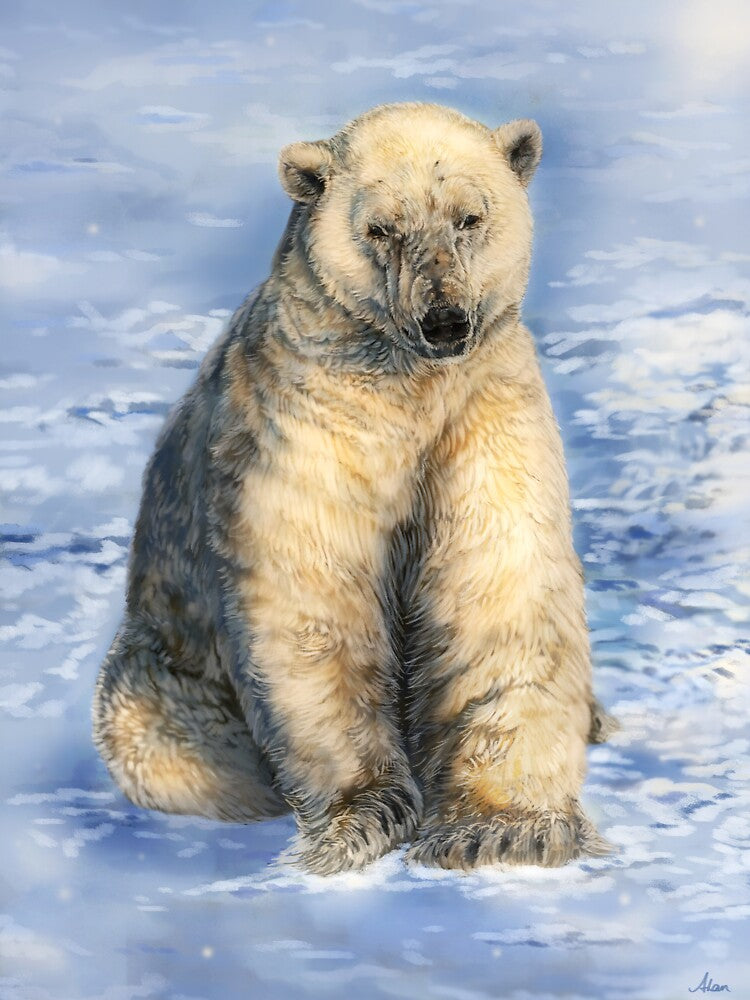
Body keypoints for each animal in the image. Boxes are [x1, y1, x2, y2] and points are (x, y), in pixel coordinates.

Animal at [92, 102, 615, 875]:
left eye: (469, 217)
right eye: (381, 229)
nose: (444, 320)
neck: (408, 388)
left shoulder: (482, 409)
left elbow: (495, 574)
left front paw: (502, 828)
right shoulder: (306, 420)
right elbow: (316, 595)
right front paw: (365, 816)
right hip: (160, 677)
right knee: (174, 745)